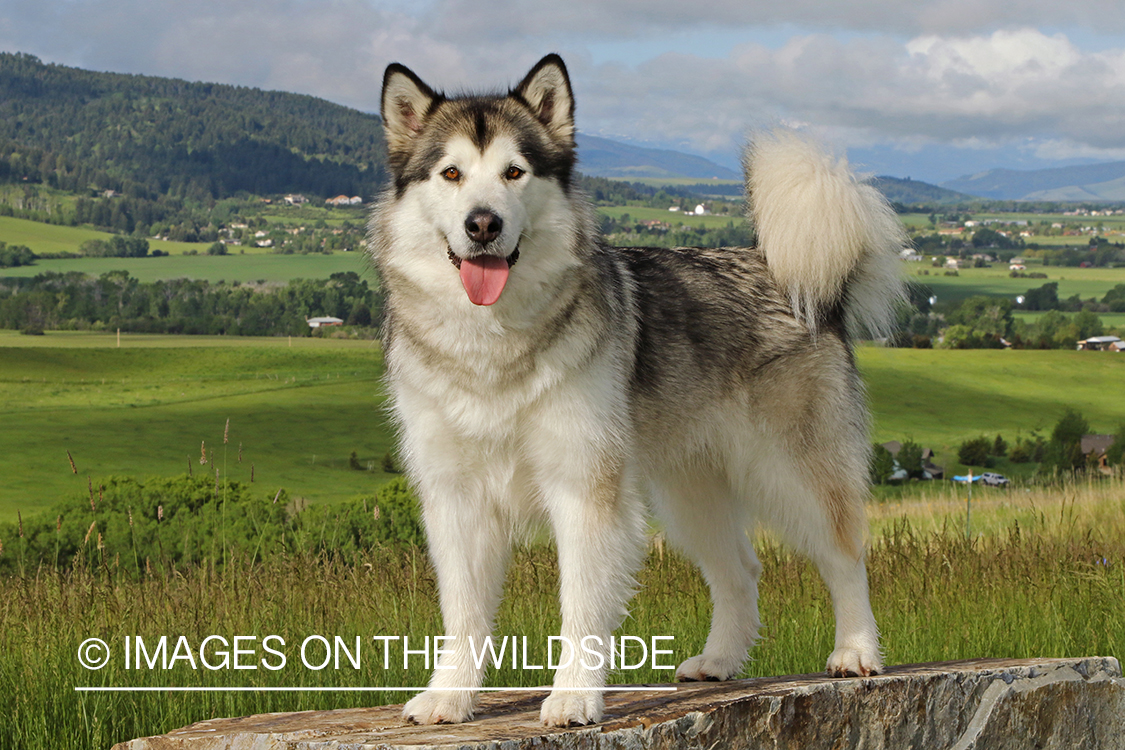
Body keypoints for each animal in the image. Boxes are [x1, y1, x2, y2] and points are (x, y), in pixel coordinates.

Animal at [369, 52, 904, 728]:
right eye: (451, 173)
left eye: (515, 172)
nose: (482, 223)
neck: (491, 344)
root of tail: (794, 279)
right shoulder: (456, 498)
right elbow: (462, 613)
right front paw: (450, 695)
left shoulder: (584, 487)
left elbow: (580, 607)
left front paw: (573, 696)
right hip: (689, 489)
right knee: (740, 570)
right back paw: (719, 661)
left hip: (794, 470)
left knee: (844, 554)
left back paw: (857, 652)